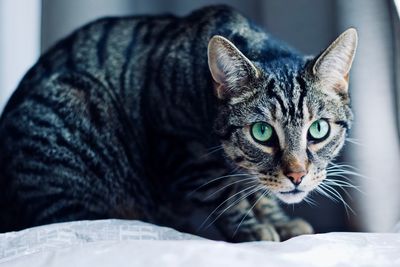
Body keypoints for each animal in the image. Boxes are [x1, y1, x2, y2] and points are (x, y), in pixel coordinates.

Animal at [0, 4, 356, 243]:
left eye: (318, 129)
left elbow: (261, 192)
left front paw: (280, 222)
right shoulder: (181, 150)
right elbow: (227, 198)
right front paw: (253, 229)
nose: (296, 175)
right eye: (262, 132)